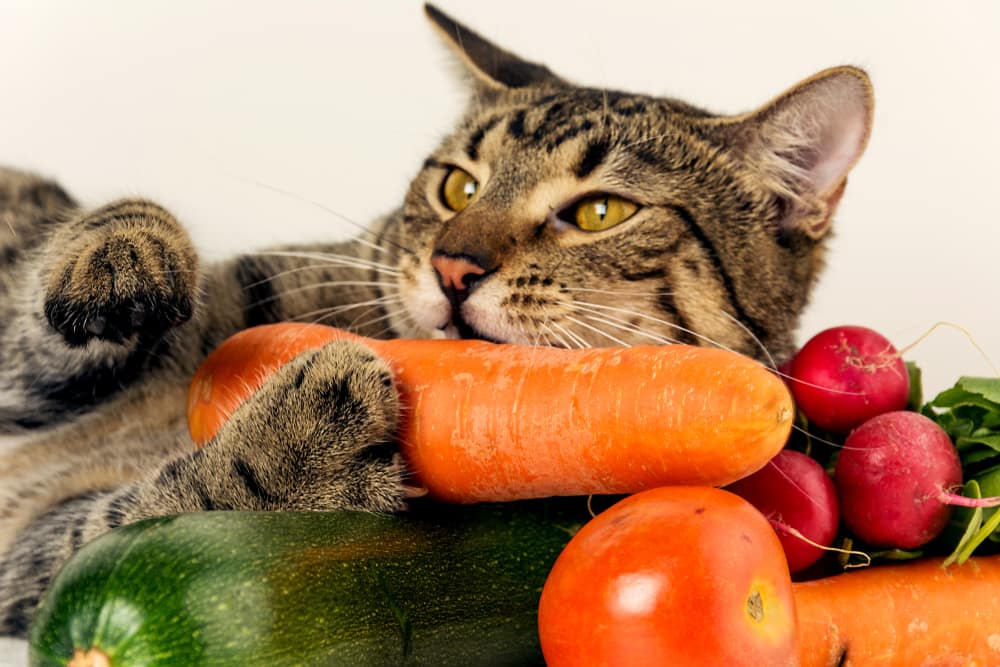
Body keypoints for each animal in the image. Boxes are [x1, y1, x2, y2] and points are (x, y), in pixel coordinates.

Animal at [0, 2, 872, 640]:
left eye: (600, 212)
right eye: (457, 186)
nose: (453, 266)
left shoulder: (40, 542)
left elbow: (171, 497)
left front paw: (302, 435)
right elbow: (38, 305)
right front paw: (123, 252)